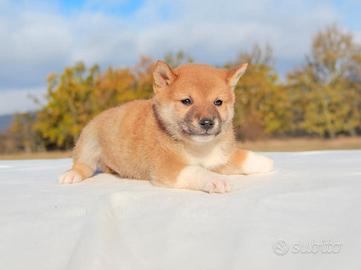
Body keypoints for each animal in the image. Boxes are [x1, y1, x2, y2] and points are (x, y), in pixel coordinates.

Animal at [59, 60, 272, 192]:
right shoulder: (169, 168)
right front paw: (215, 180)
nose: (207, 122)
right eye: (187, 101)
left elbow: (242, 156)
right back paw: (71, 175)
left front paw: (265, 162)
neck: (198, 148)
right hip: (88, 144)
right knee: (84, 166)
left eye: (218, 102)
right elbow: (197, 171)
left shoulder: (220, 157)